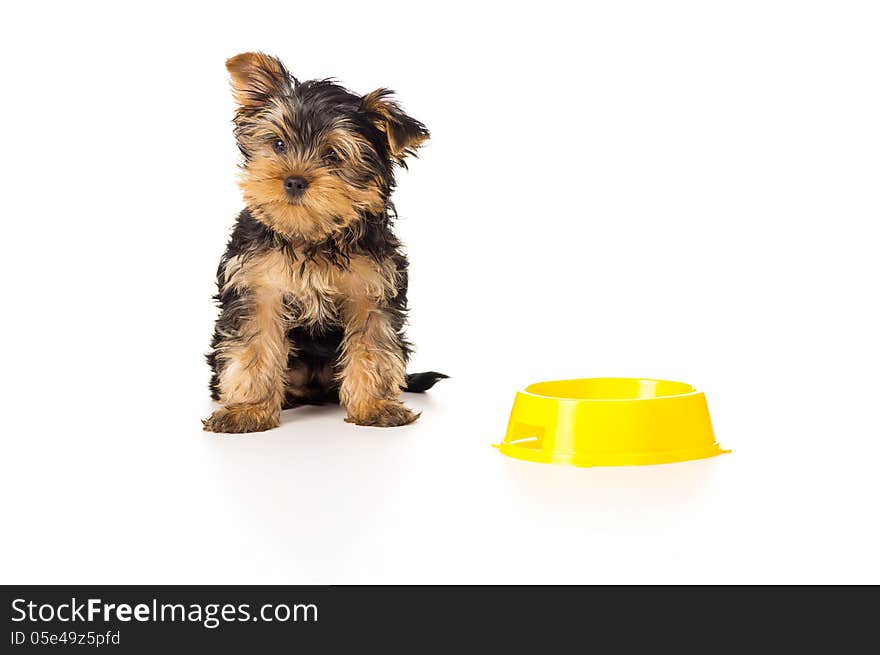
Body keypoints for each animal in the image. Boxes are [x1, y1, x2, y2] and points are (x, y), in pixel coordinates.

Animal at [203, 52, 444, 436]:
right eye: (278, 144)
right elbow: (253, 346)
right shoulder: (257, 287)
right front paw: (248, 410)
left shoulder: (372, 288)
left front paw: (374, 406)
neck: (311, 236)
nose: (294, 180)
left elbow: (373, 346)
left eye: (333, 156)